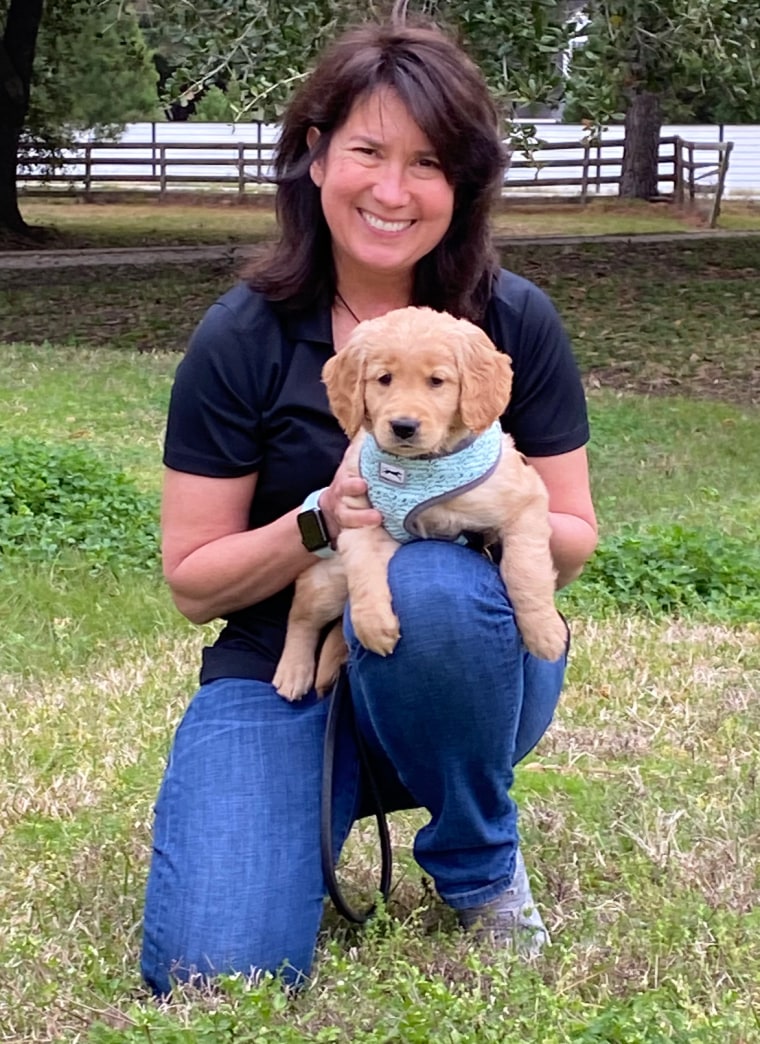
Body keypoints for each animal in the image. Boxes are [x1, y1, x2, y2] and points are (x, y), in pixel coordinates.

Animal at [275, 306, 567, 701]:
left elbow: (525, 568)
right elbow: (364, 572)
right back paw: (294, 671)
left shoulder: (524, 502)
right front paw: (373, 626)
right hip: (330, 578)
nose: (403, 426)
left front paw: (544, 631)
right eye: (384, 379)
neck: (422, 466)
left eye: (437, 381)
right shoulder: (358, 515)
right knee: (303, 607)